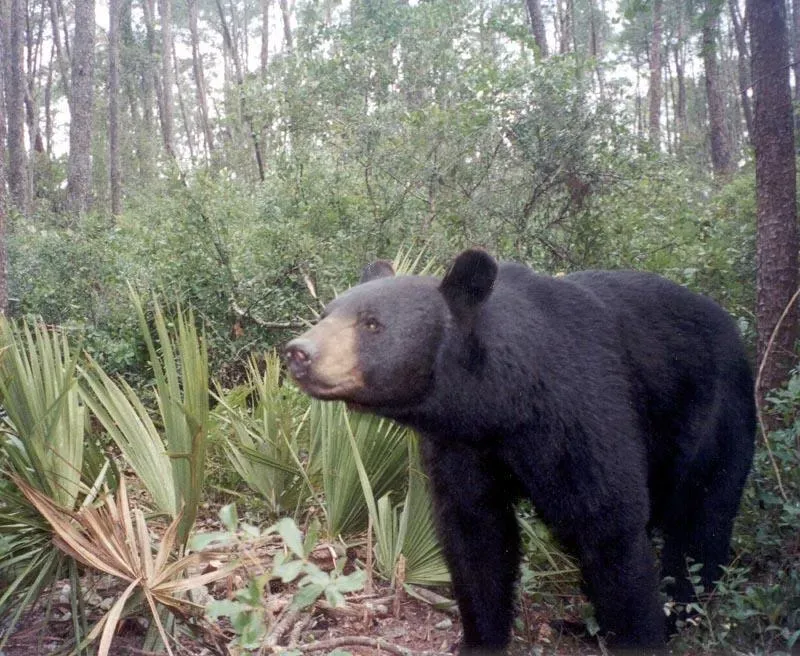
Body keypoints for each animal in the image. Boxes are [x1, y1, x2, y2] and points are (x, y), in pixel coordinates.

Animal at [284, 249, 756, 653]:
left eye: (371, 324)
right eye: (325, 314)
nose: (298, 352)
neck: (502, 404)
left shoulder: (584, 411)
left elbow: (610, 525)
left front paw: (639, 633)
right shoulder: (461, 444)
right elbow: (476, 533)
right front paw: (480, 639)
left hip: (714, 416)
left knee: (700, 523)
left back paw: (675, 613)